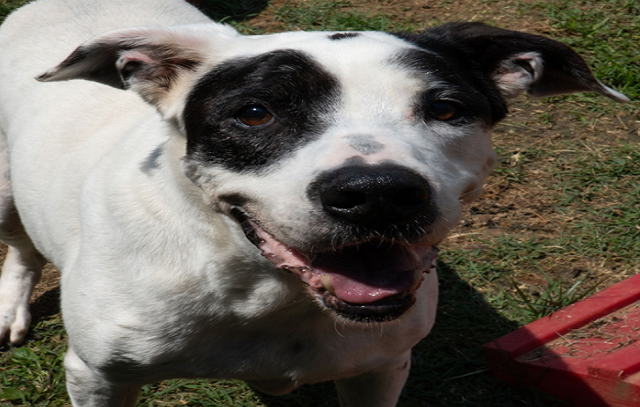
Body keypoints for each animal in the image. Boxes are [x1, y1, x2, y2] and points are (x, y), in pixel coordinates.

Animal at [0, 0, 628, 406]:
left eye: (447, 108)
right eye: (256, 113)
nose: (377, 195)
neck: (262, 291)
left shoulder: (379, 370)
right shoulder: (98, 378)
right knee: (21, 248)